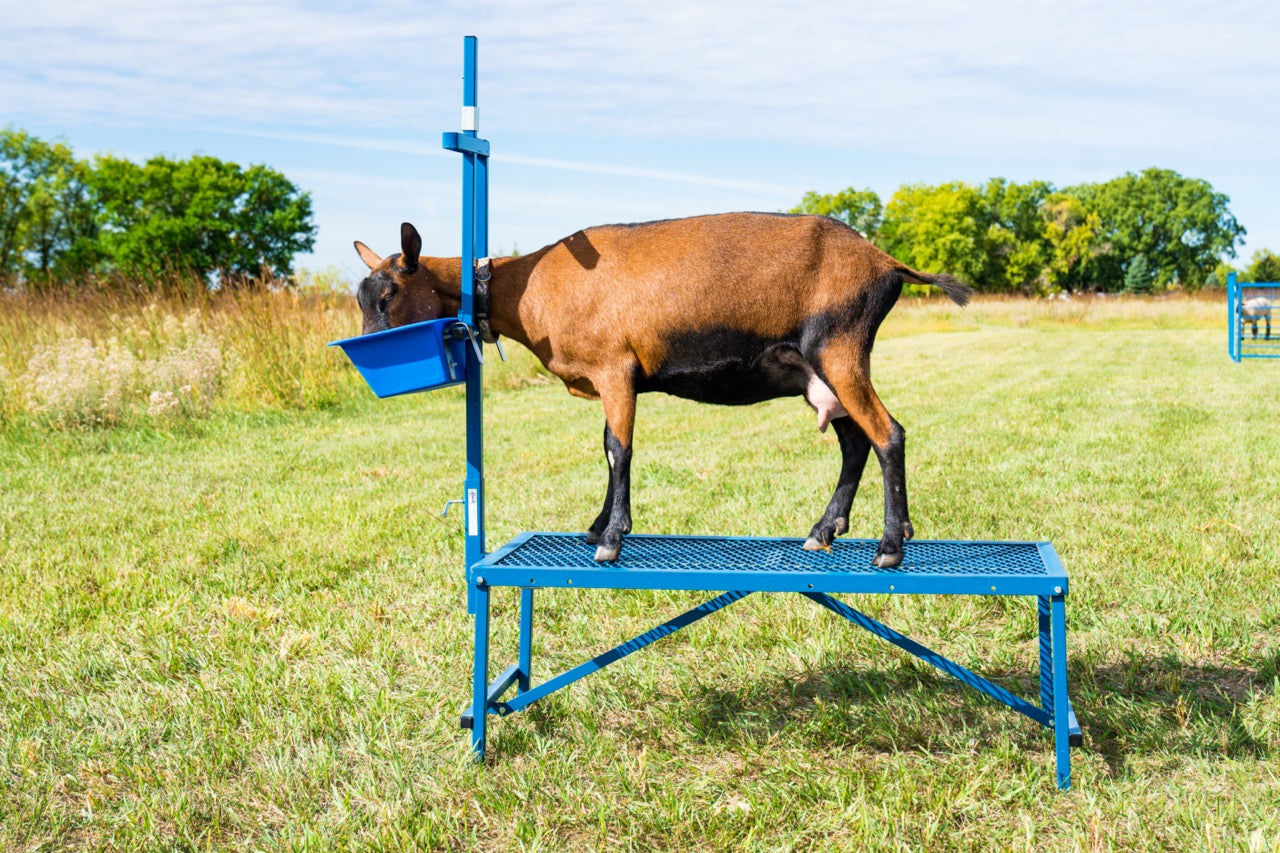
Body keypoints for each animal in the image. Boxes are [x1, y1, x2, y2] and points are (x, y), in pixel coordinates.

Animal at [352, 213, 971, 567]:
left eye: (388, 296)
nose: (365, 353)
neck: (530, 286)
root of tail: (886, 261)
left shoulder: (615, 369)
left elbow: (618, 450)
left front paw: (611, 538)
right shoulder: (611, 380)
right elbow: (606, 449)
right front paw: (596, 527)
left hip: (839, 348)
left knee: (889, 434)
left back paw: (891, 545)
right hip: (818, 372)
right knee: (855, 441)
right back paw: (824, 530)